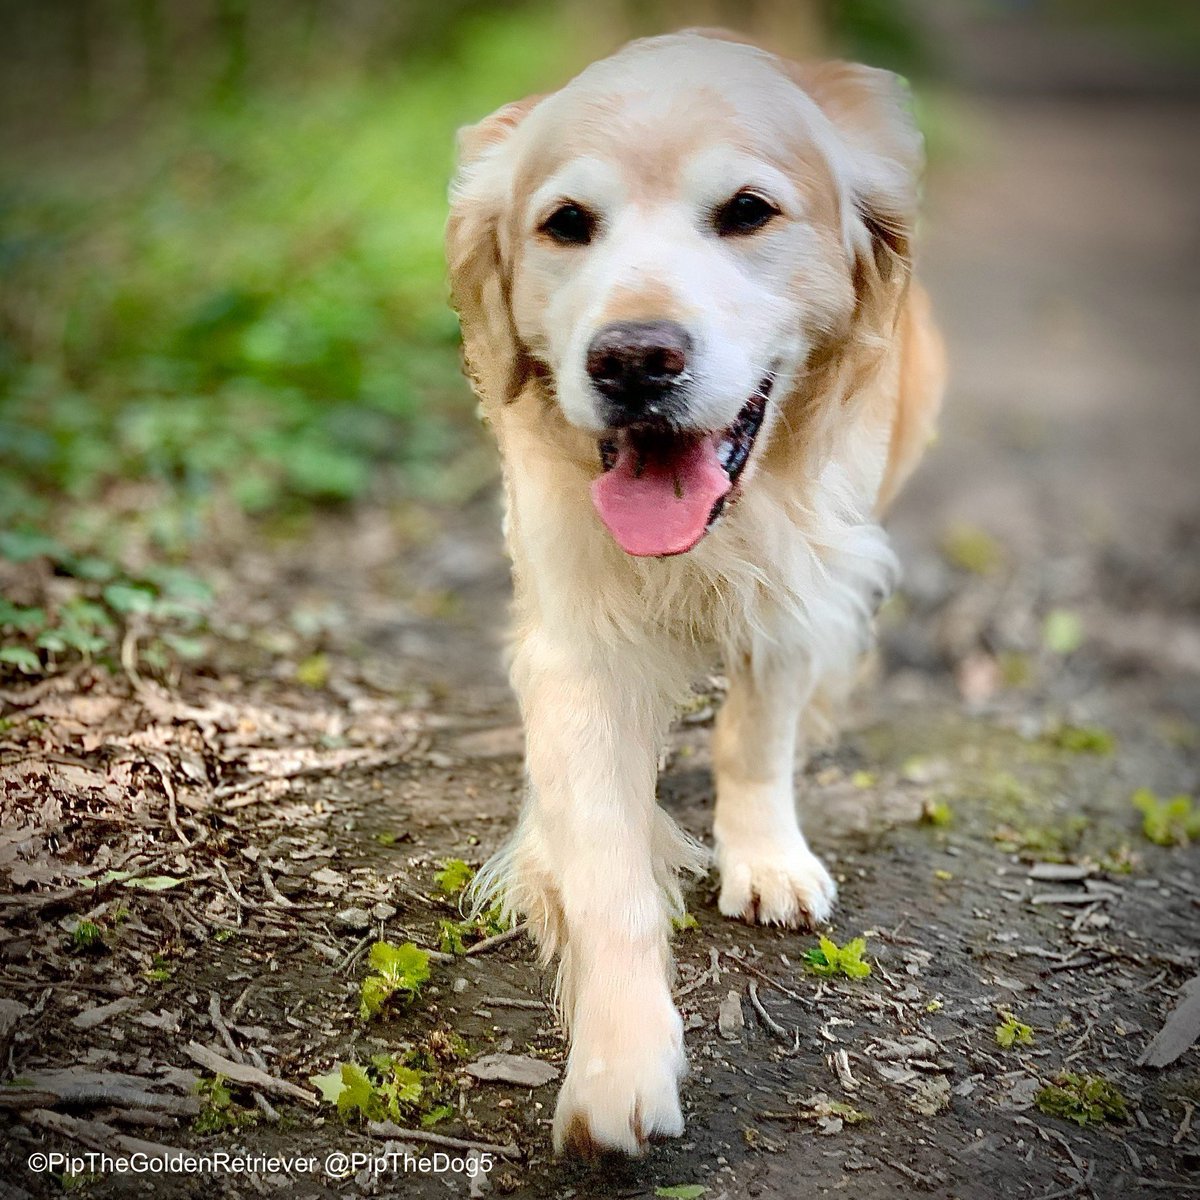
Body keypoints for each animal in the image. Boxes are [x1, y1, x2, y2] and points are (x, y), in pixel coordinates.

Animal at [446, 28, 940, 1152]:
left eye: (748, 211)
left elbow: (755, 736)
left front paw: (765, 856)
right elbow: (604, 860)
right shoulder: (576, 640)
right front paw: (619, 1056)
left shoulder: (798, 588)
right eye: (566, 224)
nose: (633, 360)